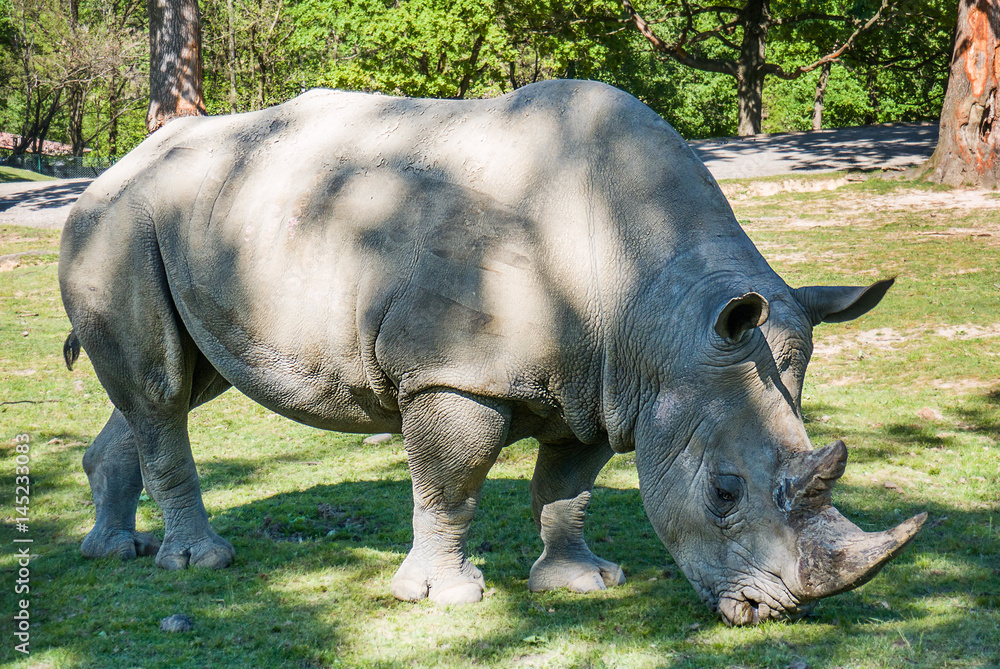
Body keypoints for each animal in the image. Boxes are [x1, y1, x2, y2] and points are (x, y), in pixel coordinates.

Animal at [59, 79, 925, 625]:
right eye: (723, 492)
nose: (769, 611)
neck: (657, 312)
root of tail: (115, 165)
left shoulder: (604, 382)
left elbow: (567, 486)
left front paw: (582, 583)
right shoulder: (454, 373)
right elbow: (455, 482)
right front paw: (446, 597)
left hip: (204, 220)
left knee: (173, 385)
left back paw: (116, 550)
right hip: (120, 218)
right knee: (161, 390)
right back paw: (200, 564)